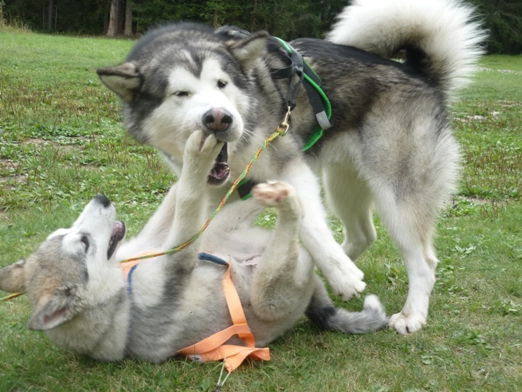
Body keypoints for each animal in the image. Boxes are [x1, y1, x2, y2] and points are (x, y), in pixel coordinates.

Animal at [95, 0, 482, 334]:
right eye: (180, 94)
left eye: (221, 84)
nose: (219, 118)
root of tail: (419, 73)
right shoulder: (215, 190)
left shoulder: (288, 164)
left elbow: (309, 221)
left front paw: (341, 275)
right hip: (342, 185)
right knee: (363, 234)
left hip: (396, 194)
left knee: (423, 261)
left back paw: (411, 314)